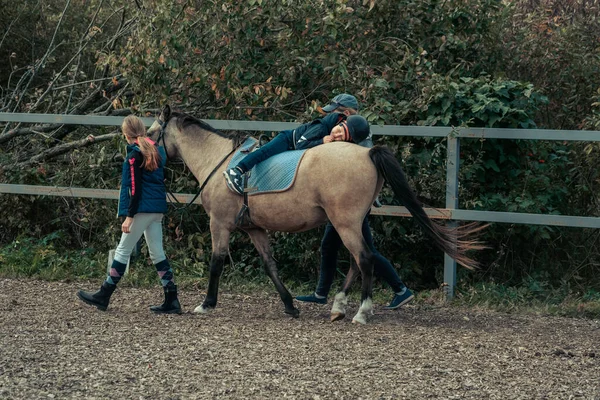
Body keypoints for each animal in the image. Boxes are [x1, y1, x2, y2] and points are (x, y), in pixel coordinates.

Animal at [148, 104, 486, 324]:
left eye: (151, 133)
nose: (143, 152)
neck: (218, 162)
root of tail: (367, 152)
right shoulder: (255, 229)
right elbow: (270, 265)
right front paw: (289, 306)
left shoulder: (219, 224)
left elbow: (217, 263)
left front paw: (206, 304)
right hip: (349, 223)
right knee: (358, 261)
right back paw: (339, 306)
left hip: (345, 223)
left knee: (364, 259)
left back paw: (361, 312)